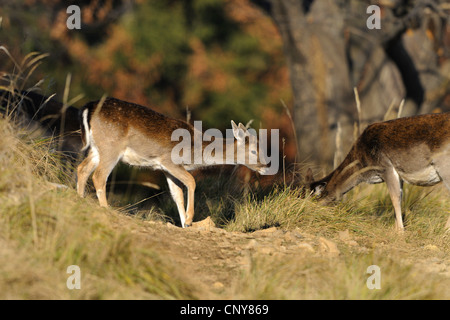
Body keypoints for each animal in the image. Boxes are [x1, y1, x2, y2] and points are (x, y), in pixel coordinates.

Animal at [76, 97, 270, 228]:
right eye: (254, 151)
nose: (266, 166)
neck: (193, 152)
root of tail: (88, 108)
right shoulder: (168, 160)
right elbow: (191, 181)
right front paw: (190, 220)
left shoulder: (165, 169)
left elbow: (177, 194)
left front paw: (185, 224)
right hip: (111, 147)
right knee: (99, 176)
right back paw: (105, 208)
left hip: (96, 148)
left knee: (82, 169)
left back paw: (80, 199)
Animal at [306, 113, 450, 232]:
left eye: (309, 197)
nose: (309, 211)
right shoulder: (399, 176)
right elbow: (400, 196)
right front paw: (395, 228)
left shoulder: (385, 167)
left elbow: (394, 198)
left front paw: (400, 232)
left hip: (444, 166)